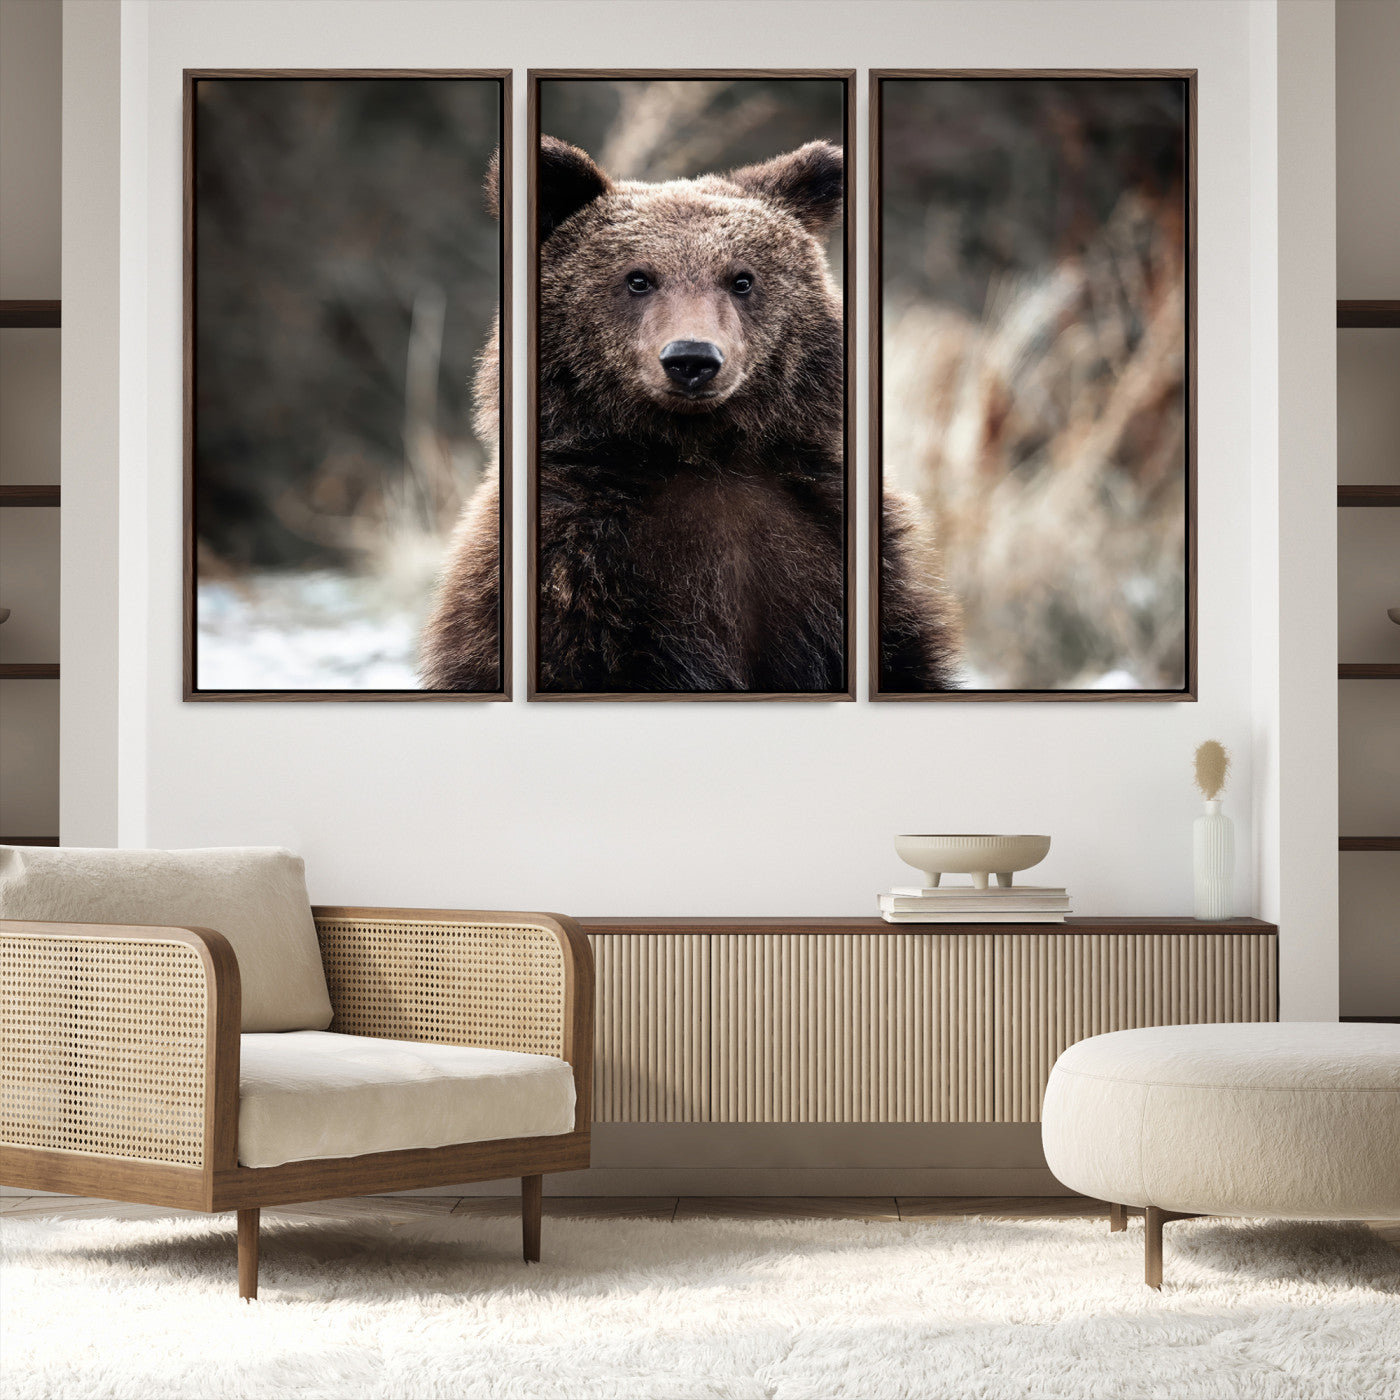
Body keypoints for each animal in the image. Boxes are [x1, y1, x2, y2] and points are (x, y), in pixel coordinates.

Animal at [420, 136, 958, 694]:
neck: (698, 450)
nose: (692, 358)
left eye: (741, 279)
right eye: (638, 278)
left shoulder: (826, 543)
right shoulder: (577, 568)